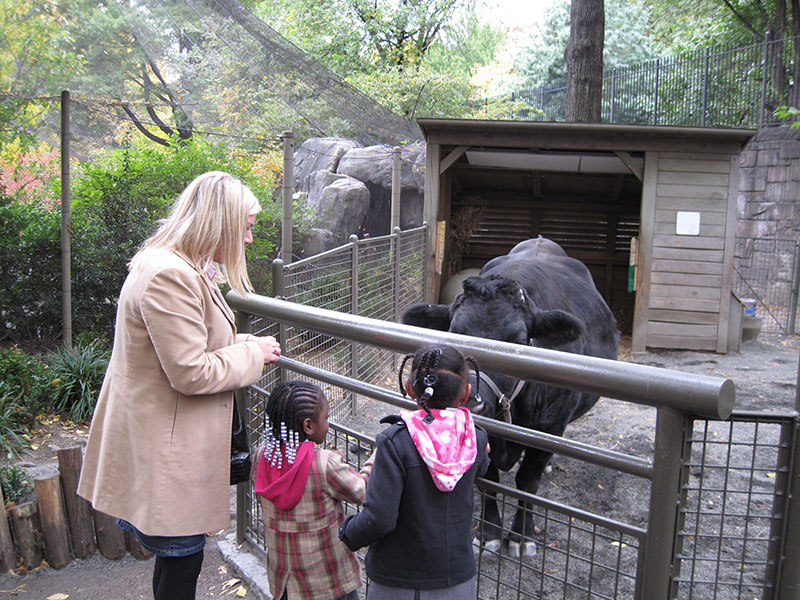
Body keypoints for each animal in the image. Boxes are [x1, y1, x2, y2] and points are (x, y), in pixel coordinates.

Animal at [404, 236, 620, 556]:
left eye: (518, 341)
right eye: (453, 333)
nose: (471, 402)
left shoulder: (550, 426)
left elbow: (528, 482)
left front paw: (521, 535)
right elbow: (489, 479)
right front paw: (489, 533)